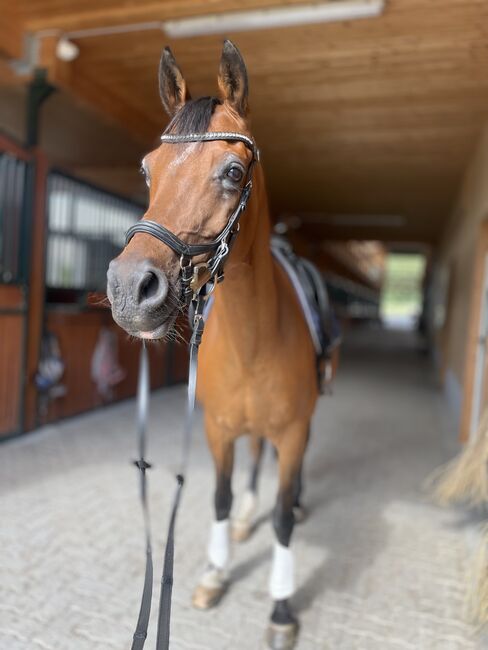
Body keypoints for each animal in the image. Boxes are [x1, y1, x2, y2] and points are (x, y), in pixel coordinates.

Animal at [107, 39, 318, 644]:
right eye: (147, 170)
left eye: (232, 170)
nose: (129, 289)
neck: (255, 338)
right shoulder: (218, 428)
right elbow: (220, 496)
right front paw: (215, 574)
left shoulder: (293, 429)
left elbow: (284, 517)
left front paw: (281, 609)